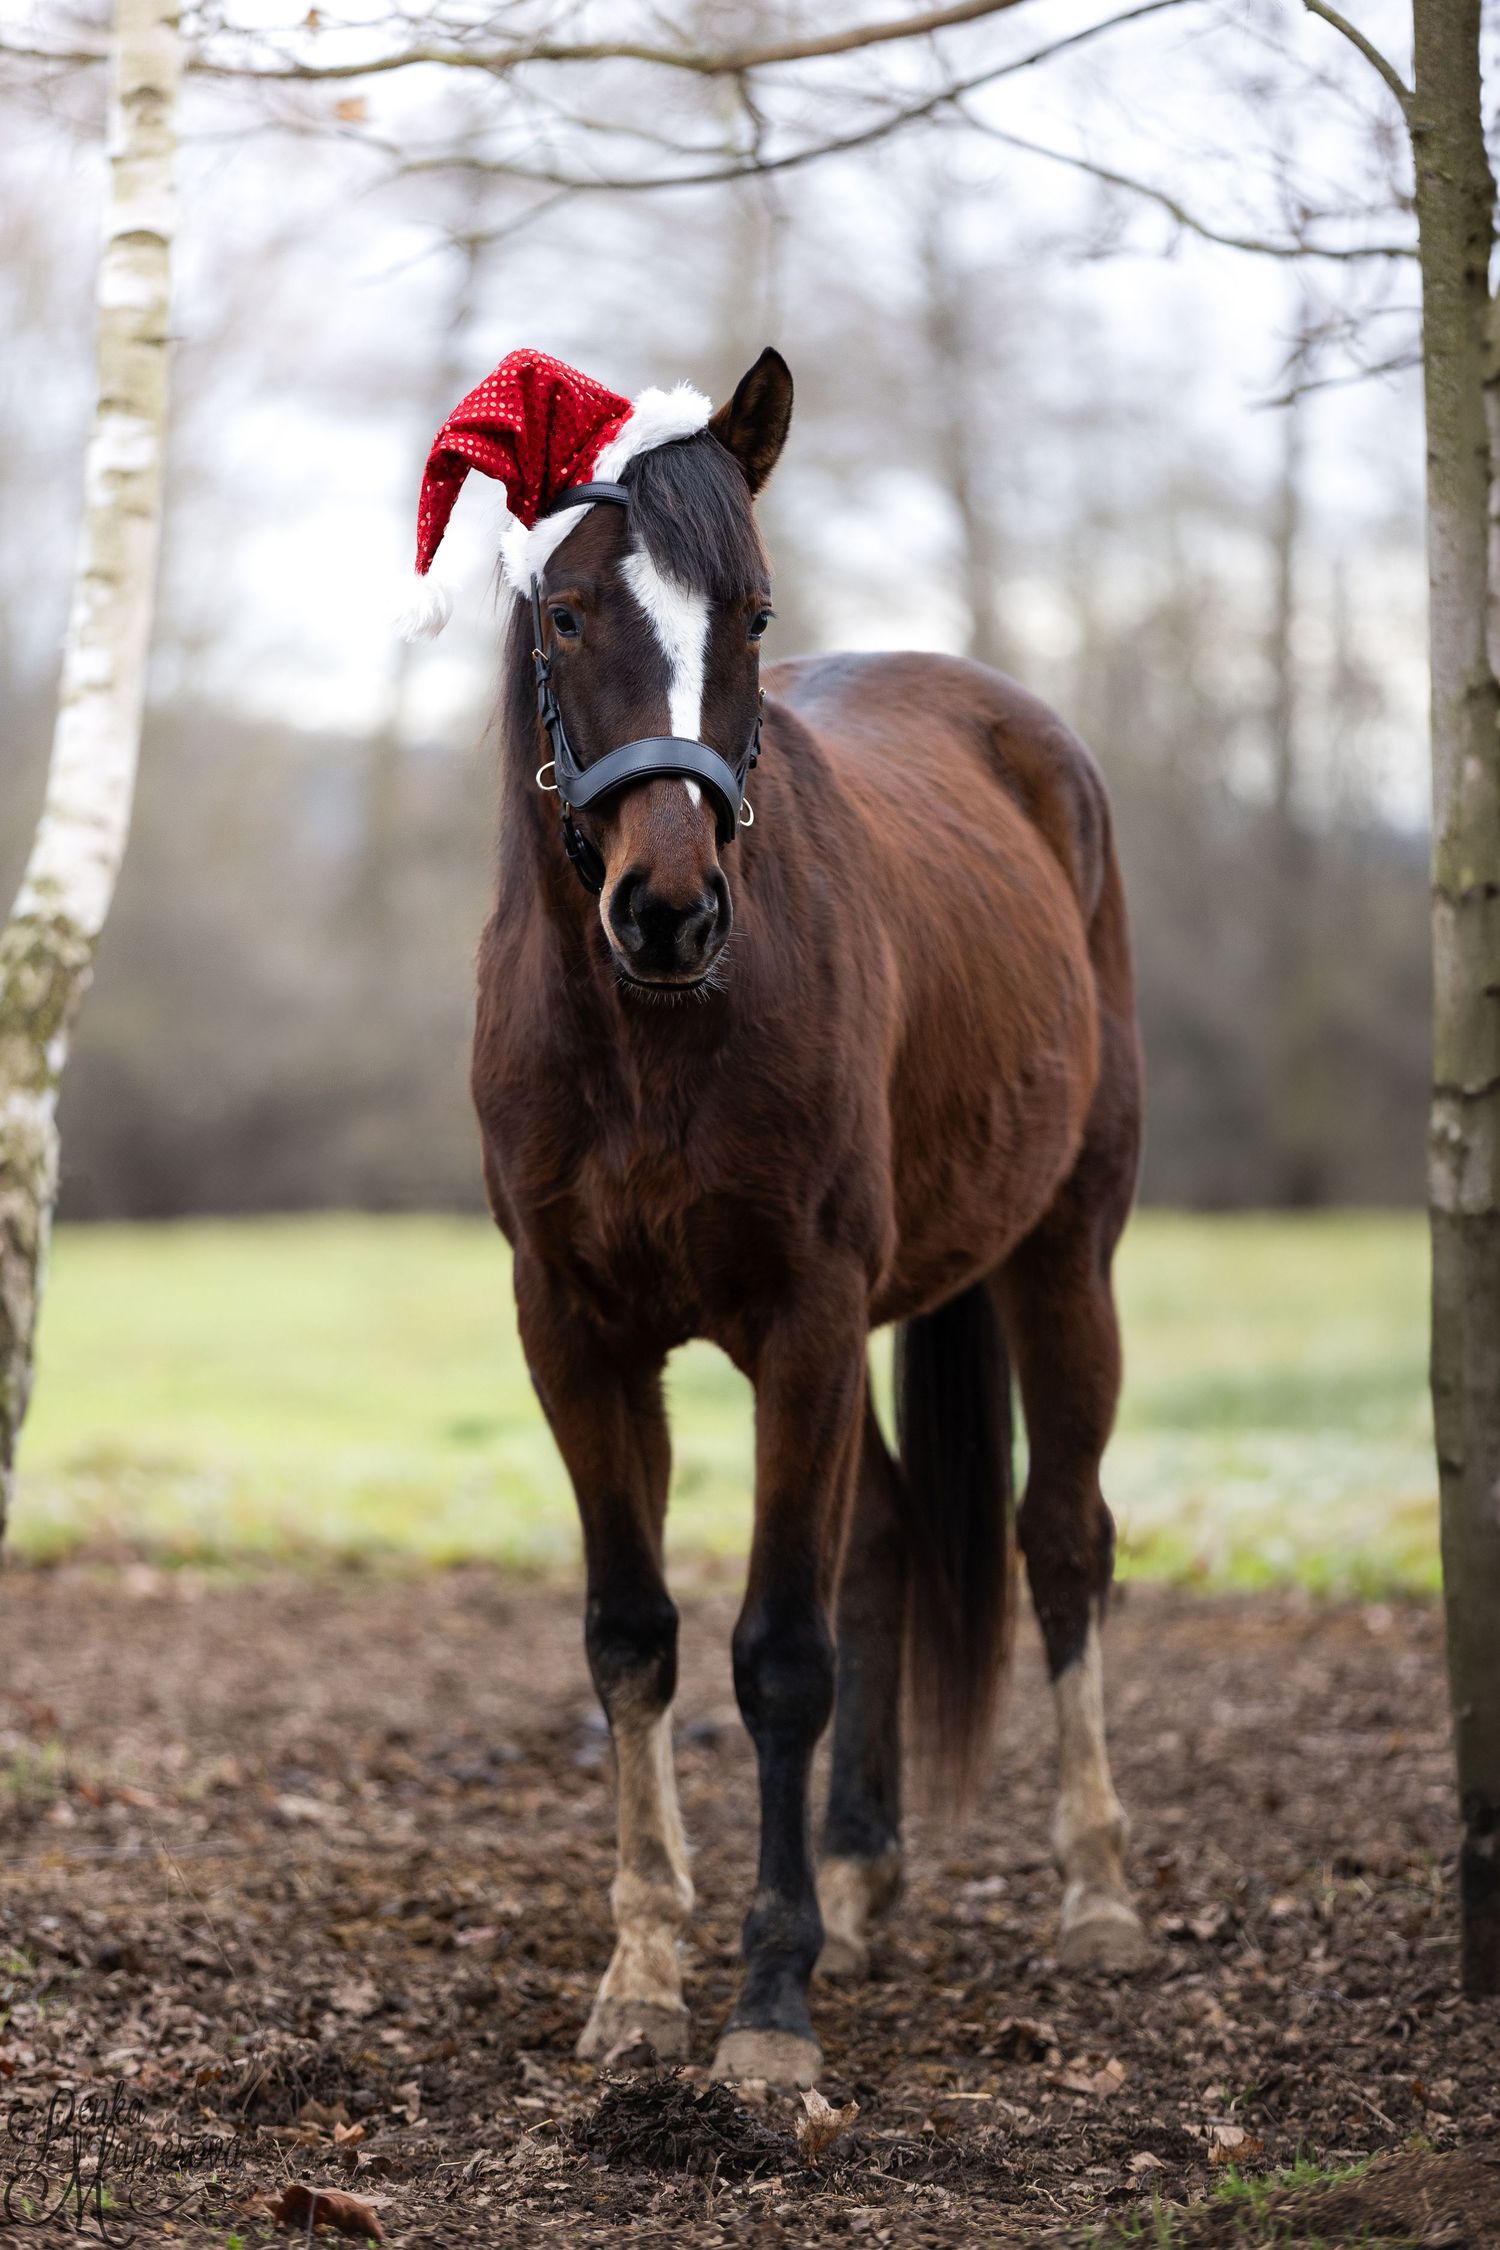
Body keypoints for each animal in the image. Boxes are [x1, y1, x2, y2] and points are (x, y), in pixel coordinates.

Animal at [469, 347, 1147, 2088]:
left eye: (755, 613)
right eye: (564, 613)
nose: (668, 908)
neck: (652, 1034)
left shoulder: (806, 1318)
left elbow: (777, 1653)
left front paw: (768, 2009)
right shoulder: (574, 1333)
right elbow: (632, 1635)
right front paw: (645, 1974)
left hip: (1065, 1258)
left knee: (1062, 1539)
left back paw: (1096, 1892)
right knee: (898, 1534)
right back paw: (856, 1876)